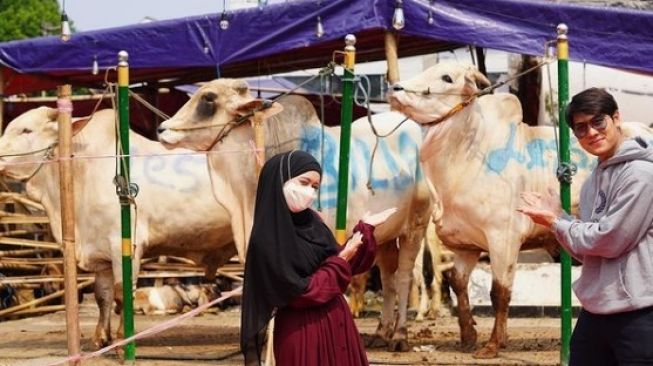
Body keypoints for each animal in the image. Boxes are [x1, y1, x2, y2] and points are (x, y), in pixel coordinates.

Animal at [0, 106, 237, 348]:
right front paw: (101, 338)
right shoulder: (102, 254)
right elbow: (102, 295)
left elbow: (122, 294)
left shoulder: (125, 246)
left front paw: (124, 341)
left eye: (26, 130)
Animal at [158, 80, 432, 352]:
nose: (161, 129)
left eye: (209, 99)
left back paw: (399, 335)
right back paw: (381, 332)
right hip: (386, 237)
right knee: (388, 278)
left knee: (405, 277)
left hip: (416, 227)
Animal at [388, 62, 652, 358]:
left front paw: (493, 345)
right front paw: (468, 336)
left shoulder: (503, 238)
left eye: (447, 77)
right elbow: (458, 284)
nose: (395, 88)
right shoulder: (466, 245)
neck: (466, 155)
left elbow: (499, 293)